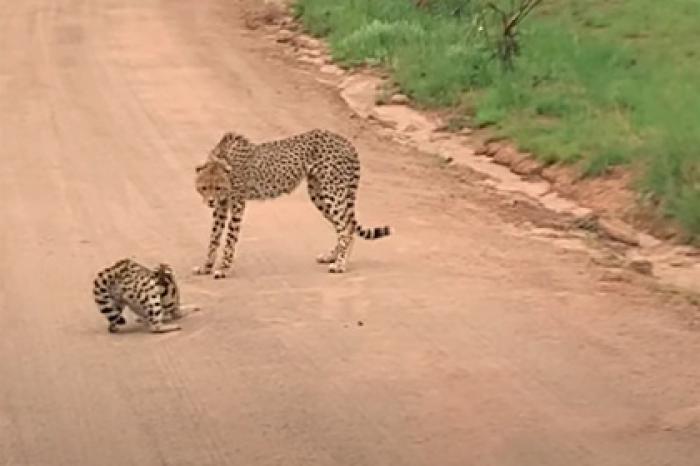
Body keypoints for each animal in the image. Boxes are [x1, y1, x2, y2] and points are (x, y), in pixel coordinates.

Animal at [194, 127, 392, 276]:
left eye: (218, 187)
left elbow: (229, 238)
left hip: (333, 192)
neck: (223, 158)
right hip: (319, 194)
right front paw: (206, 267)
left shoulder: (237, 203)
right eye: (204, 188)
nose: (210, 201)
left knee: (346, 227)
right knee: (345, 225)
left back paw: (340, 265)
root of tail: (345, 140)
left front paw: (223, 269)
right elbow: (214, 237)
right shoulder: (221, 206)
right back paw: (332, 257)